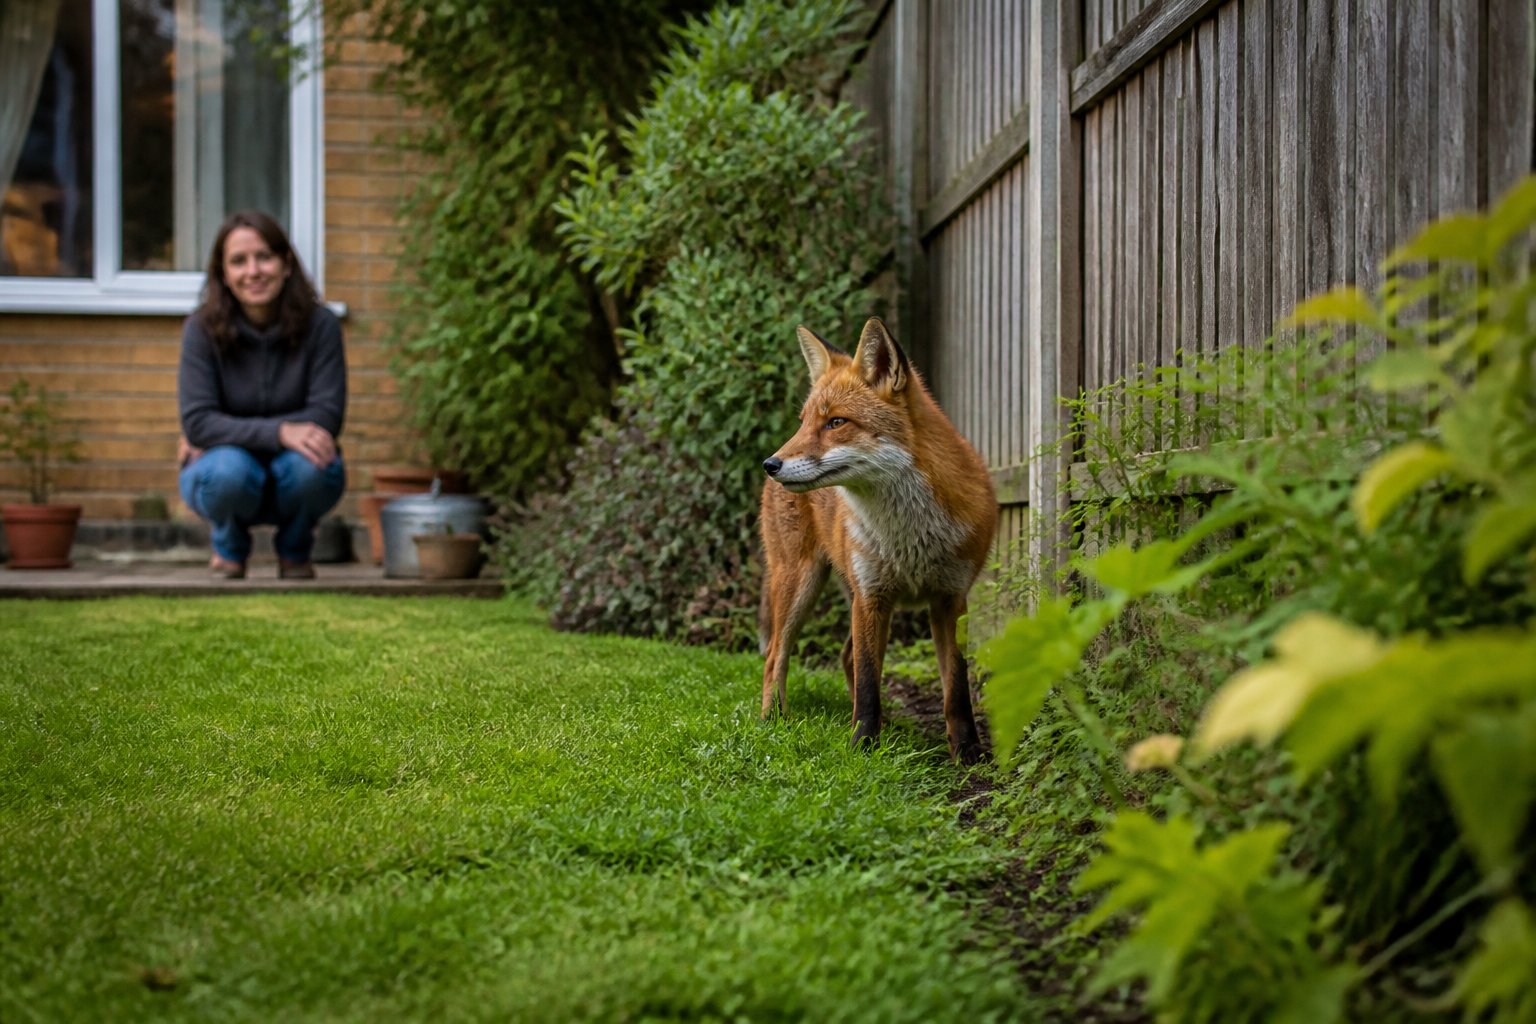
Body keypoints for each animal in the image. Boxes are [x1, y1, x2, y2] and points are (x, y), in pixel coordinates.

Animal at [759, 317, 997, 763]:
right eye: (804, 422)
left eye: (836, 422)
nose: (770, 464)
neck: (910, 536)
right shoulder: (872, 596)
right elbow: (870, 684)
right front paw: (862, 748)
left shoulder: (950, 599)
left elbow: (956, 689)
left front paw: (967, 752)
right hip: (800, 583)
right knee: (775, 656)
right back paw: (771, 722)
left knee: (844, 655)